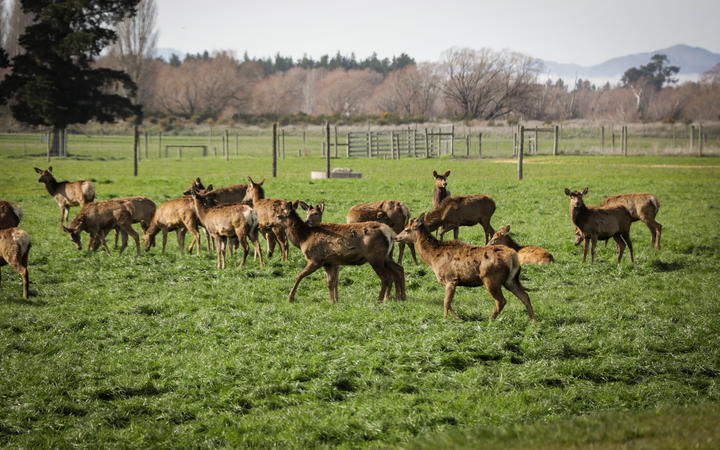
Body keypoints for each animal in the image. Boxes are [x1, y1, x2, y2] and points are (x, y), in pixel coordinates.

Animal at [272, 201, 404, 304]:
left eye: (279, 215)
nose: (269, 224)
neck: (302, 238)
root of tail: (390, 233)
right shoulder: (330, 262)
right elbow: (331, 282)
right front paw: (333, 300)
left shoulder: (315, 259)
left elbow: (299, 275)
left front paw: (290, 298)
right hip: (387, 256)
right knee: (399, 269)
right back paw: (401, 298)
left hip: (375, 257)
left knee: (386, 277)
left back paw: (380, 300)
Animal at [394, 213, 536, 322]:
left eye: (407, 229)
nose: (396, 237)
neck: (433, 258)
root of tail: (514, 257)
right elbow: (448, 303)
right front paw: (457, 318)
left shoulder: (450, 279)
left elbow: (446, 302)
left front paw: (446, 320)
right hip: (511, 279)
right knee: (525, 296)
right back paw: (533, 321)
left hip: (491, 278)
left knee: (501, 301)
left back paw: (490, 320)